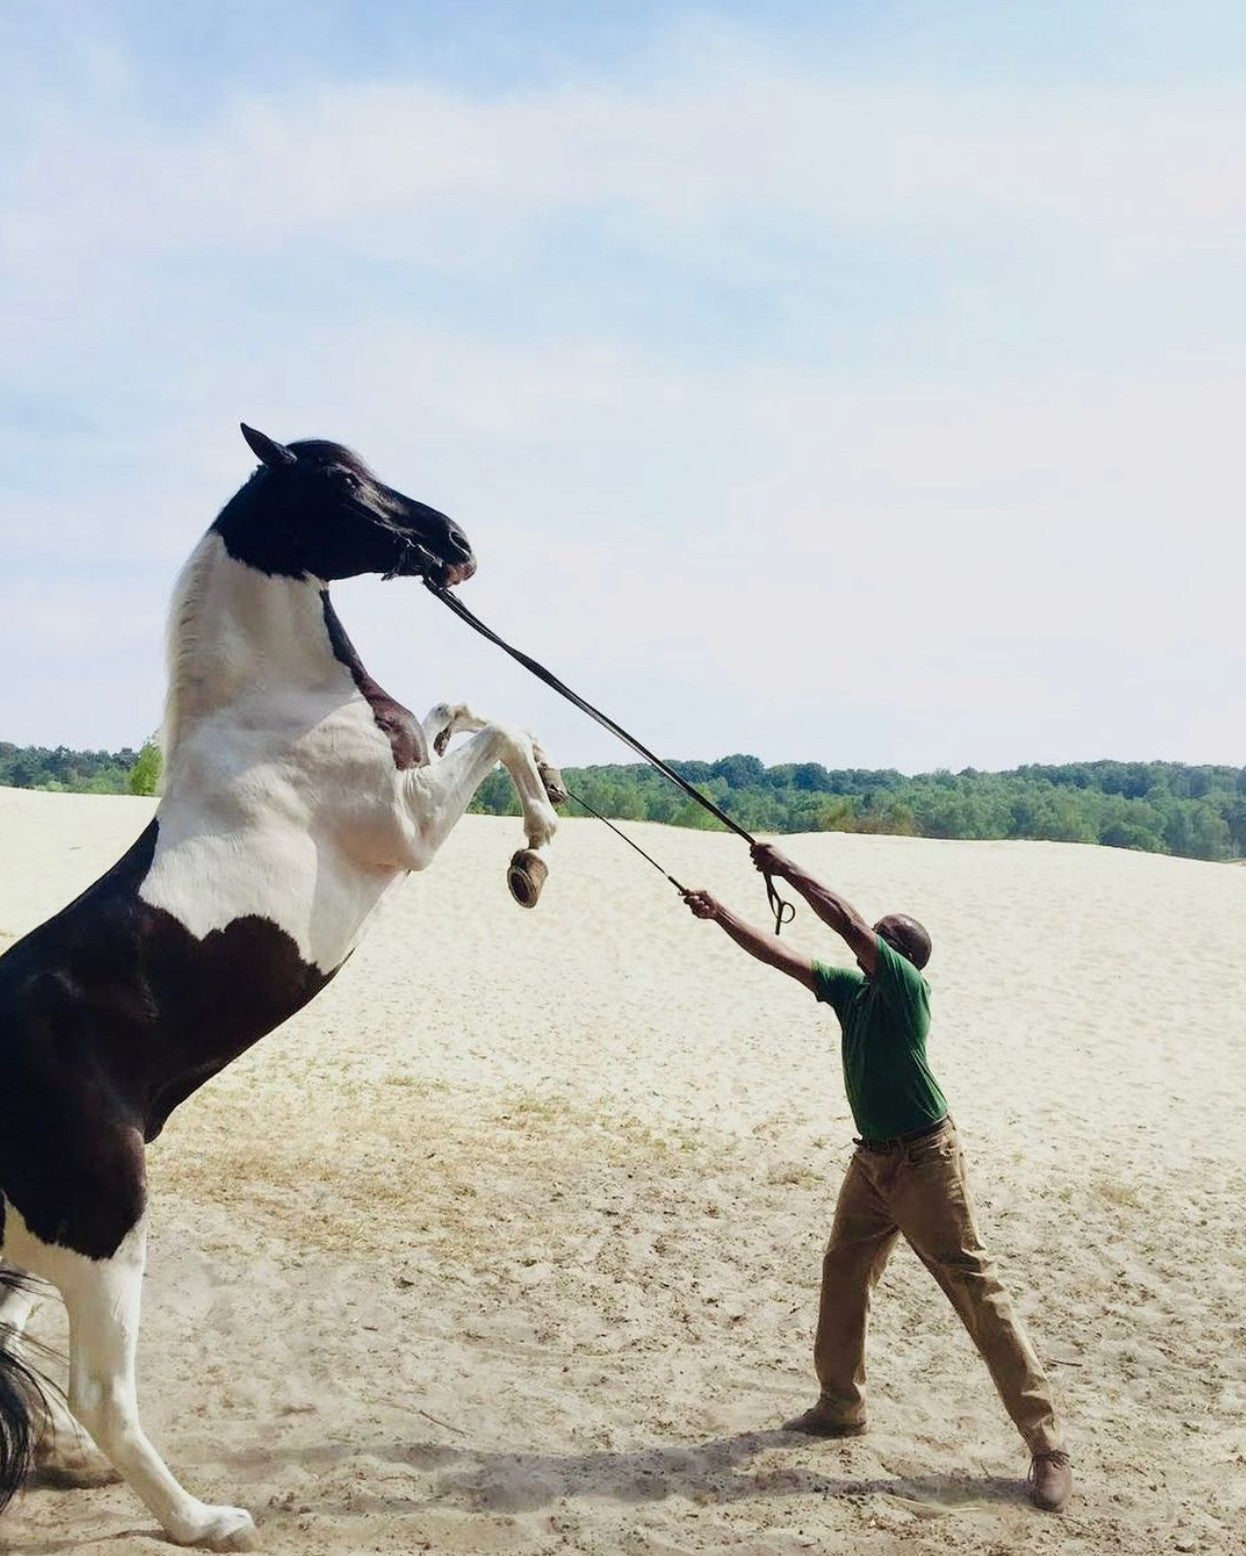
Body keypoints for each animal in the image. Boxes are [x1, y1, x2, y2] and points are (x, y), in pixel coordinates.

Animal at [0, 423, 563, 1543]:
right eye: (341, 480)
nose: (455, 543)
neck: (279, 713)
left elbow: (461, 705)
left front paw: (545, 808)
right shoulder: (412, 827)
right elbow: (500, 726)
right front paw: (538, 837)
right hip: (104, 1219)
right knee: (104, 1390)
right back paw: (202, 1519)